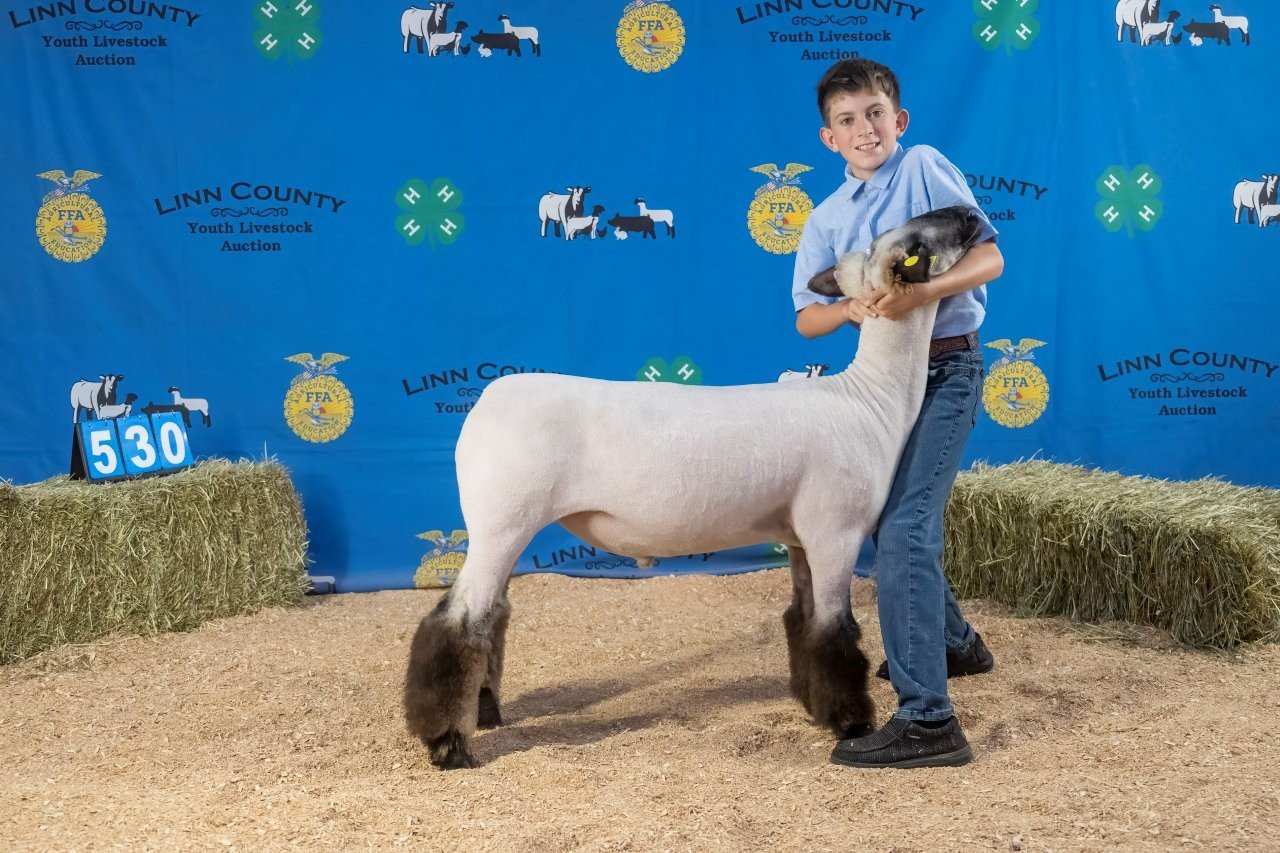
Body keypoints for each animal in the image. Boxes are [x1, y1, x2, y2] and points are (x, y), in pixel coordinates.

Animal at [402, 205, 987, 769]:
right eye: (917, 239)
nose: (970, 214)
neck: (869, 399)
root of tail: (485, 403)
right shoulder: (835, 532)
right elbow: (832, 631)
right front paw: (851, 724)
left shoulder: (800, 537)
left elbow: (801, 622)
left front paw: (812, 705)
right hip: (501, 522)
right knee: (457, 623)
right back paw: (449, 745)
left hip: (502, 526)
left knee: (491, 617)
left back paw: (485, 712)